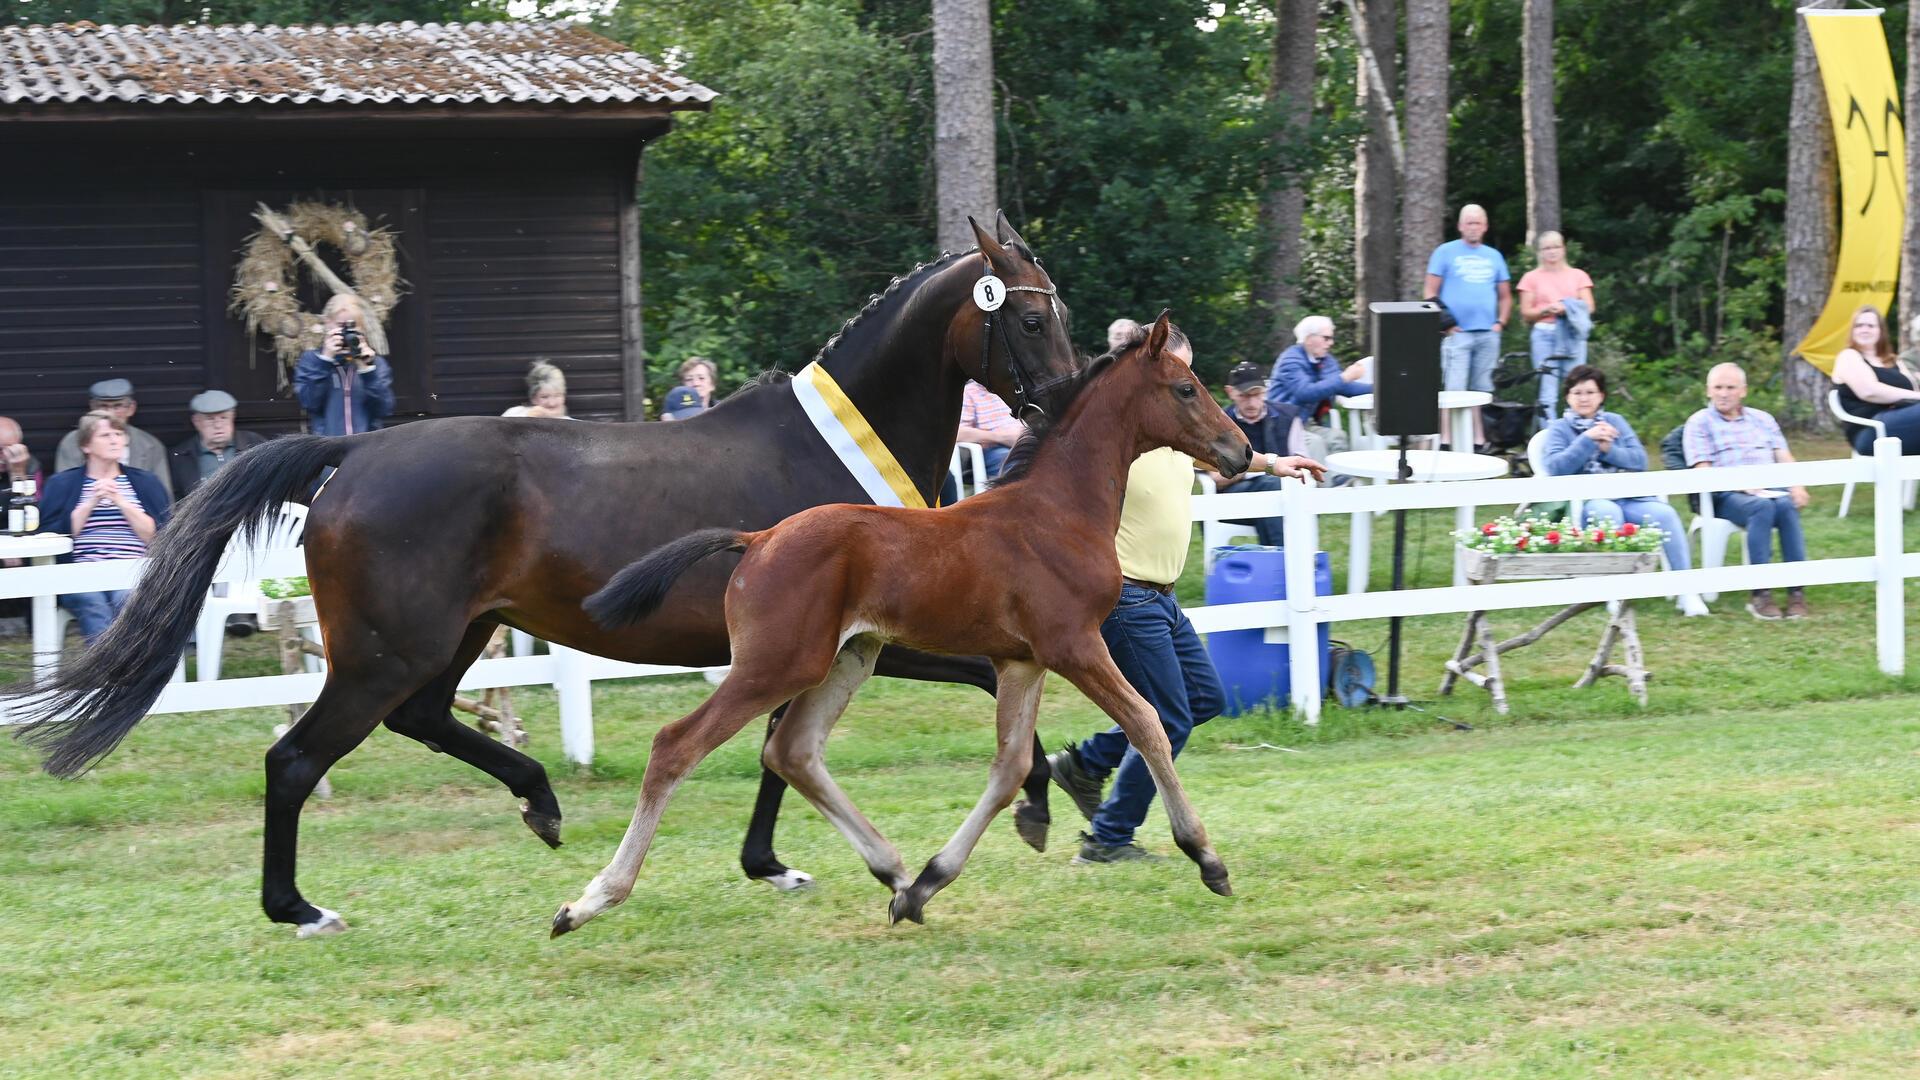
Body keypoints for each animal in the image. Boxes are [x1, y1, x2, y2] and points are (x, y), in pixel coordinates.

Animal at [560, 311, 1259, 933]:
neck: (1057, 509)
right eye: (1185, 388)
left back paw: (895, 874)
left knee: (792, 751)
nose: (1242, 448)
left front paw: (928, 882)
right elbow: (1148, 722)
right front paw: (1208, 859)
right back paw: (589, 901)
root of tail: (757, 540)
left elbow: (1010, 768)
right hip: (777, 664)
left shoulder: (1021, 661)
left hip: (847, 658)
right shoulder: (1073, 645)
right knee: (676, 745)